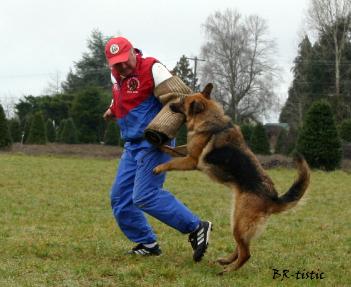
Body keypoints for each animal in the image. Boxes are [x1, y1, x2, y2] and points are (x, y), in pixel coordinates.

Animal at [154, 84, 310, 274]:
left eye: (183, 101)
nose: (169, 105)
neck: (210, 120)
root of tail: (273, 198)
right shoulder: (187, 151)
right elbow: (171, 149)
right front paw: (157, 144)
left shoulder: (191, 161)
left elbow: (171, 162)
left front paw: (159, 167)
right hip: (236, 220)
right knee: (241, 247)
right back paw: (227, 261)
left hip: (239, 223)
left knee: (246, 253)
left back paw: (228, 270)